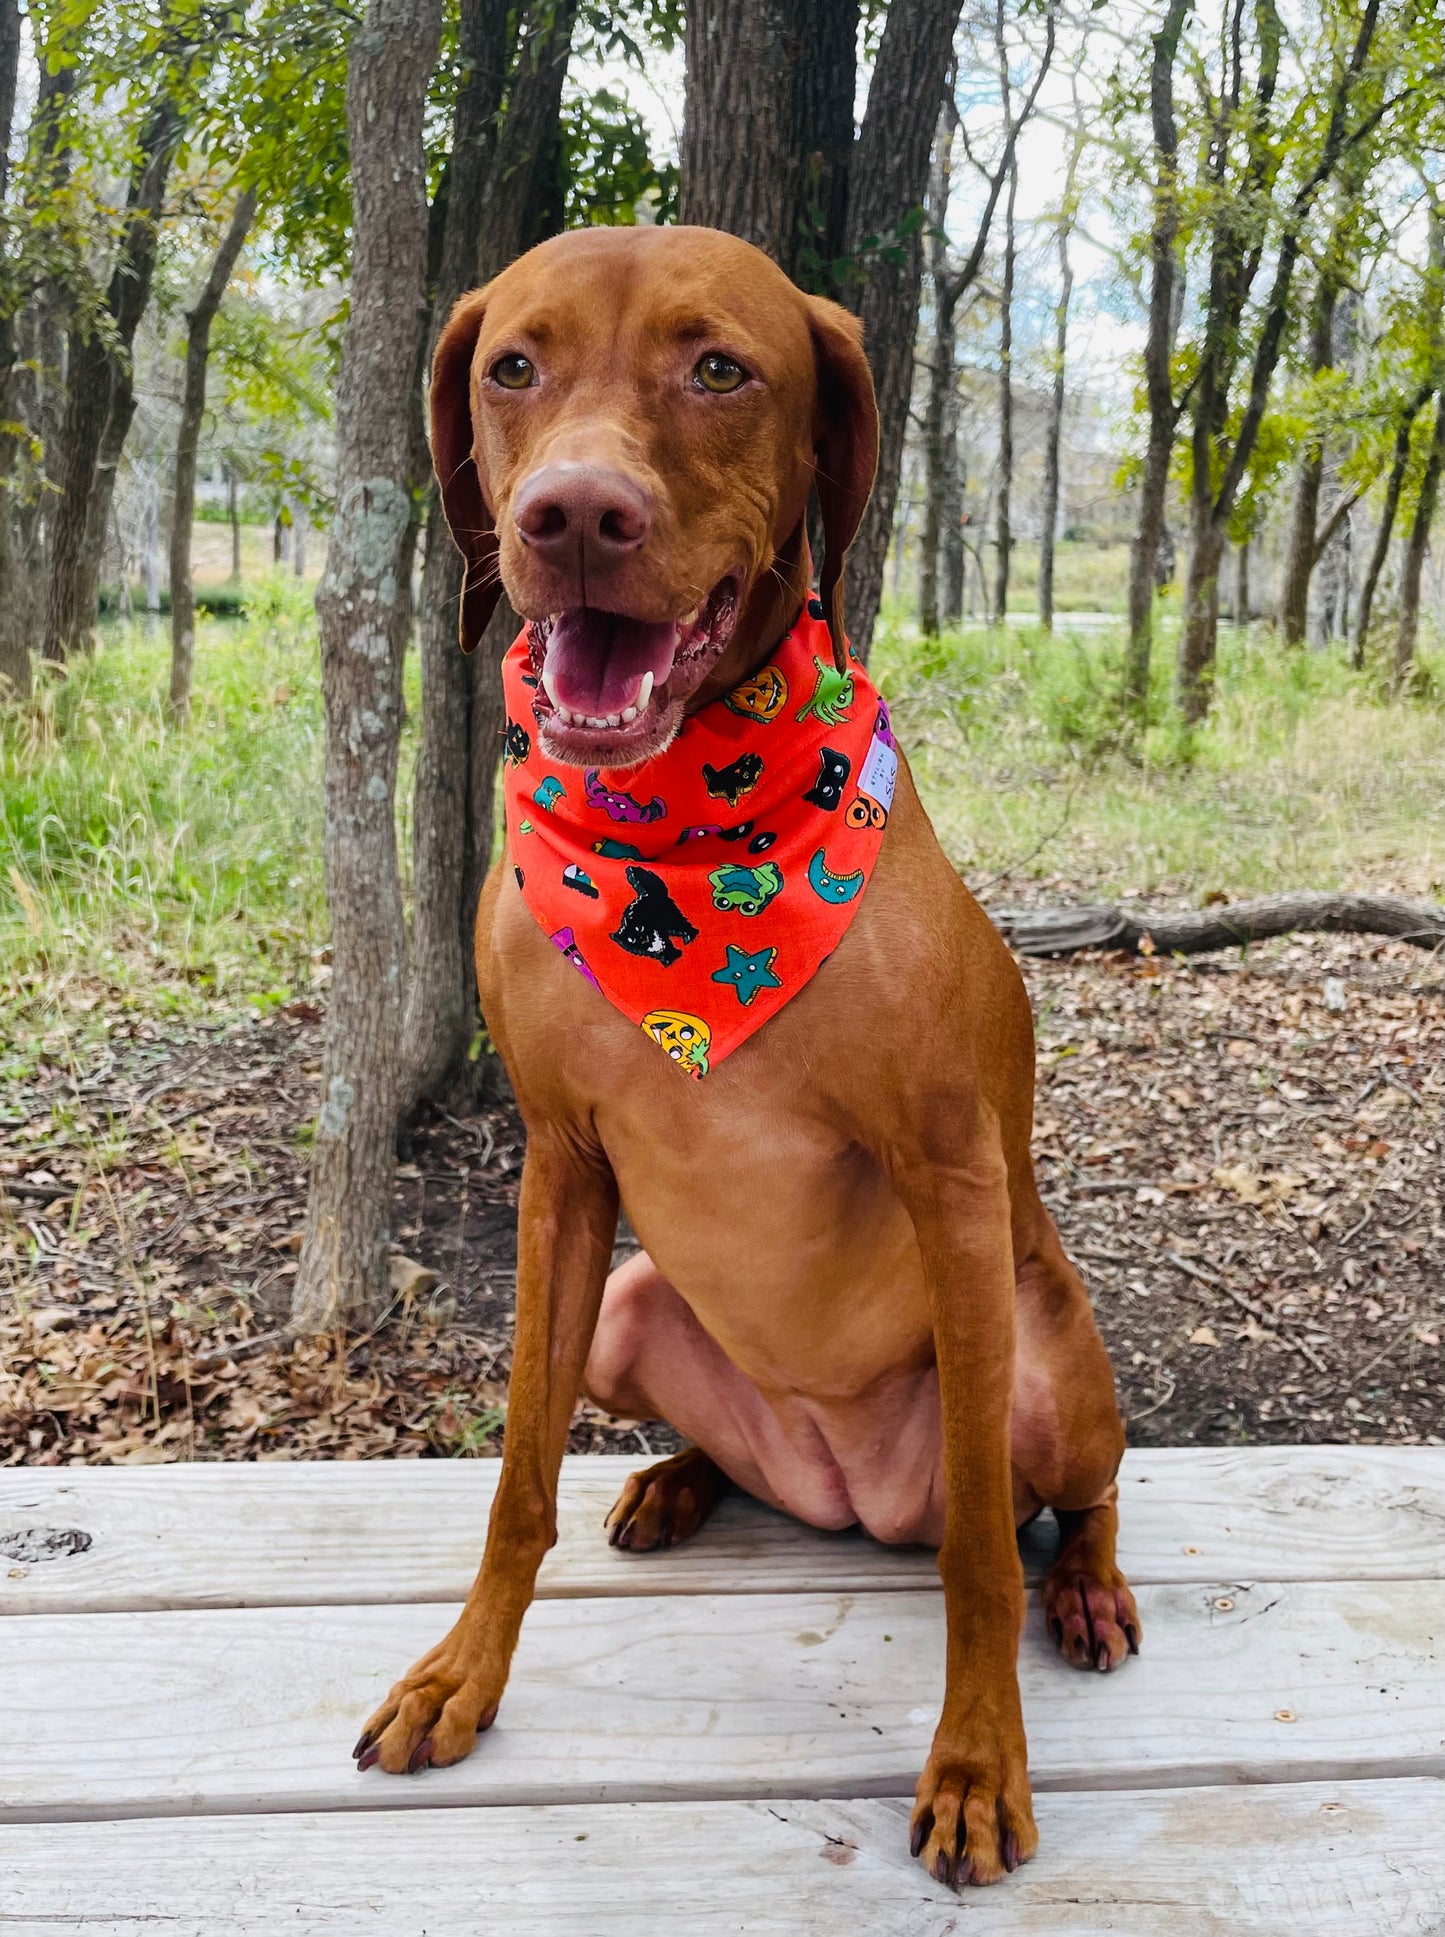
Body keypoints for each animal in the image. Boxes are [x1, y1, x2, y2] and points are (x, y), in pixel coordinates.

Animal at [352, 226, 1138, 1890]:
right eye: (511, 365)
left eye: (721, 368)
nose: (574, 514)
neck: (681, 841)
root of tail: (841, 1490)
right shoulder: (559, 1168)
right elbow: (515, 1481)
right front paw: (463, 1672)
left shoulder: (951, 1174)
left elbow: (982, 1555)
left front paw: (978, 1759)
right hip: (629, 1307)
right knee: (713, 1439)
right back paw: (680, 1478)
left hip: (1049, 1366)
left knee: (1062, 1499)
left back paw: (1087, 1584)